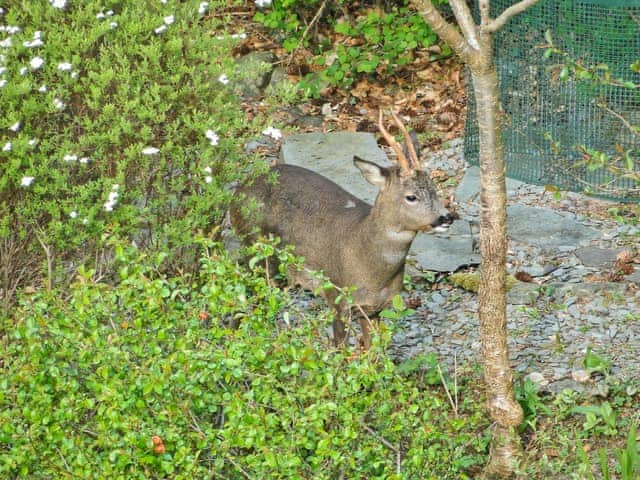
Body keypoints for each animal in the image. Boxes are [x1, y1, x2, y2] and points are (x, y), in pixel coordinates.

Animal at [230, 109, 456, 348]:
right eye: (411, 197)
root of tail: (239, 190)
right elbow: (341, 348)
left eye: (434, 189)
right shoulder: (336, 295)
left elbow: (373, 351)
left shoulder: (374, 308)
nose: (446, 218)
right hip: (256, 248)